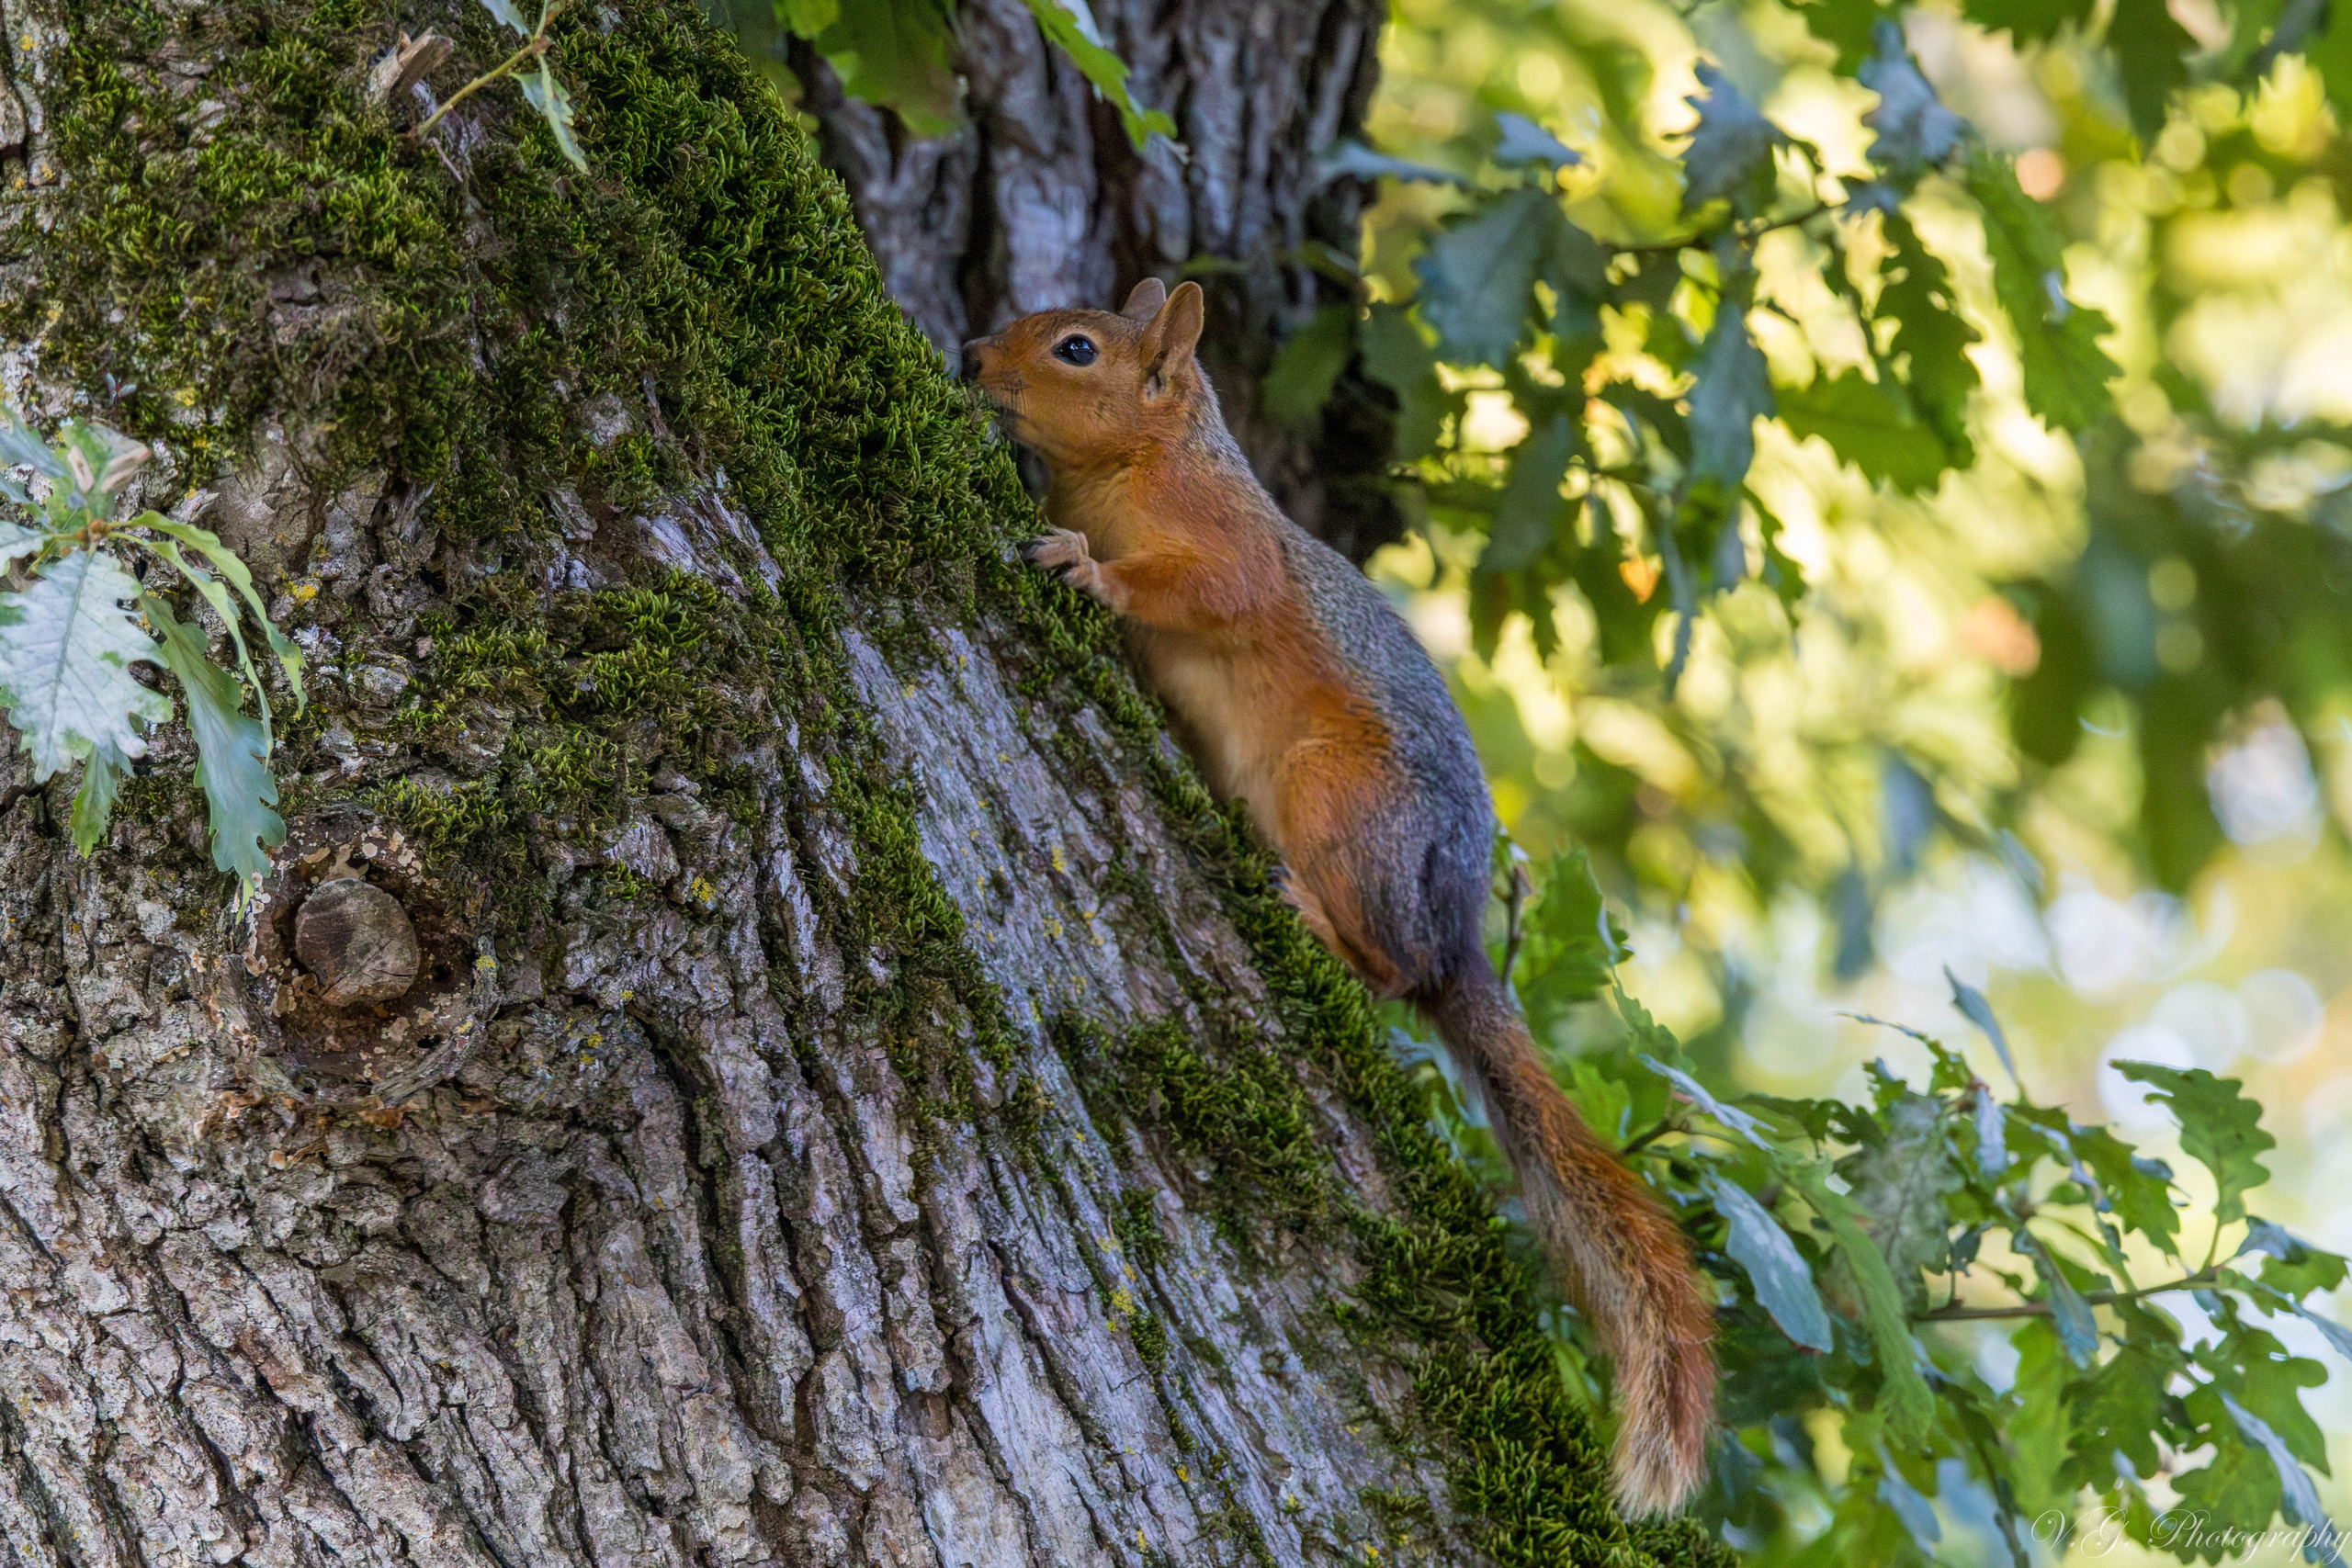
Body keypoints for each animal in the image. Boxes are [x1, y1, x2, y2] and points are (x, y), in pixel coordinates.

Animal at [961, 278, 1716, 1516]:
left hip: (1336, 801)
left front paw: (1086, 568)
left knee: (1391, 971)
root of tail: (1458, 937)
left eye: (1075, 348)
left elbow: (1204, 589)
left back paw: (1316, 916)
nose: (973, 357)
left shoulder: (1230, 546)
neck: (1145, 462)